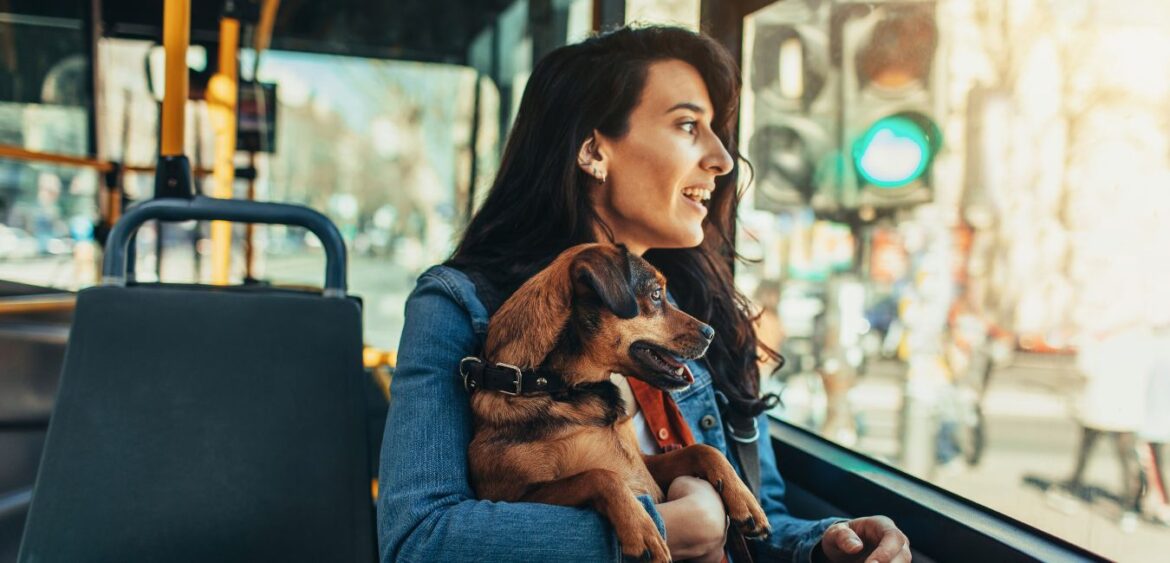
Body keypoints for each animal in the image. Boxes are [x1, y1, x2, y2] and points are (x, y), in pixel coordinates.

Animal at [460, 242, 772, 561]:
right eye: (656, 295)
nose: (711, 333)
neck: (558, 387)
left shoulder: (645, 463)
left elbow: (703, 450)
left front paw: (745, 501)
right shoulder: (516, 495)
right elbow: (601, 476)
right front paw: (643, 532)